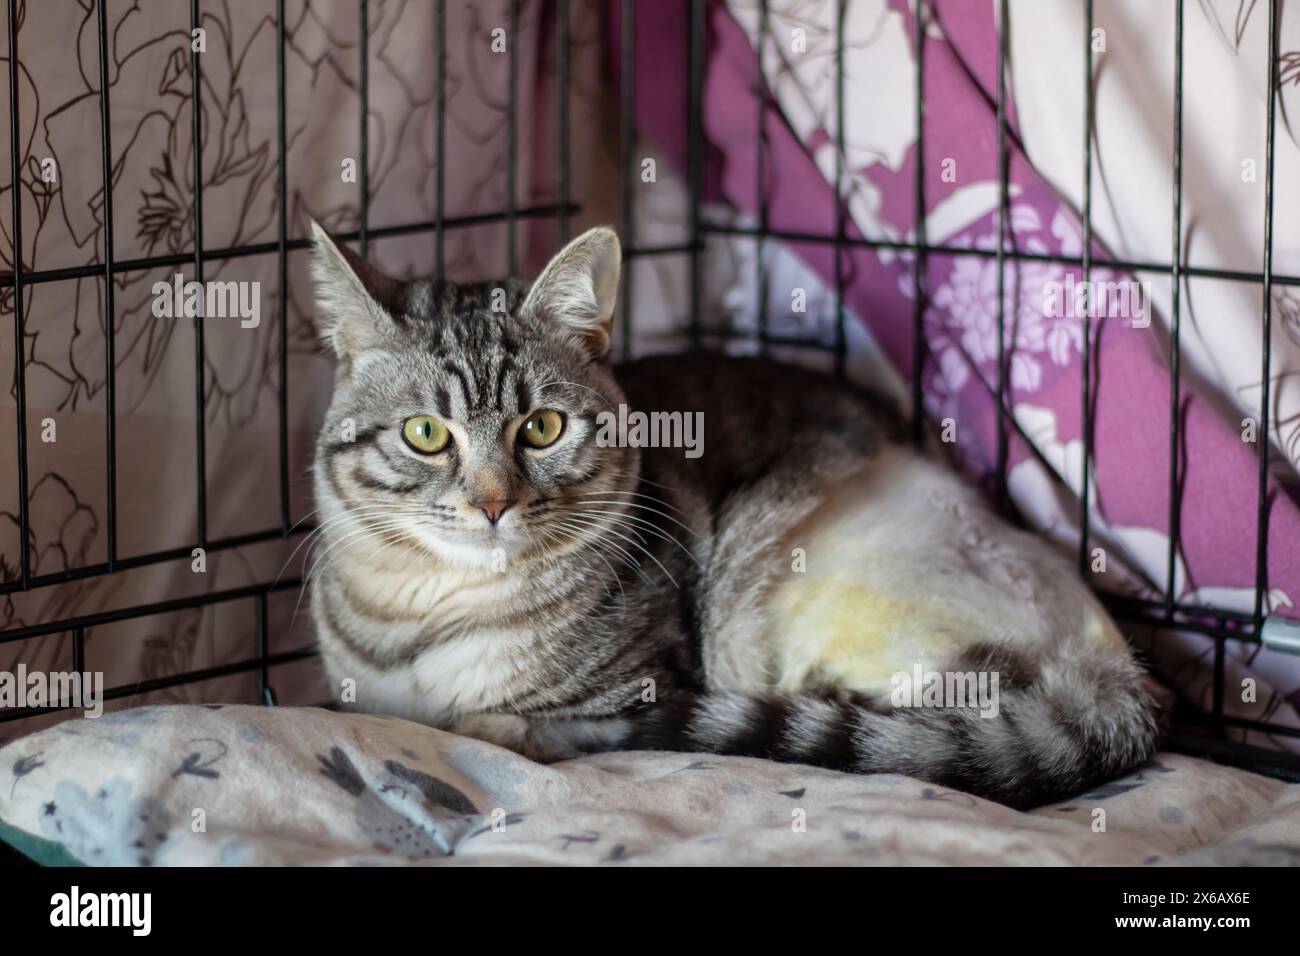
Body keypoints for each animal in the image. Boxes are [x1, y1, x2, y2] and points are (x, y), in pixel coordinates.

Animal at [309, 222, 1164, 806]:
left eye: (543, 428)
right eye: (427, 435)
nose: (492, 503)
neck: (416, 619)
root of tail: (1112, 662)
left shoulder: (627, 697)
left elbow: (512, 728)